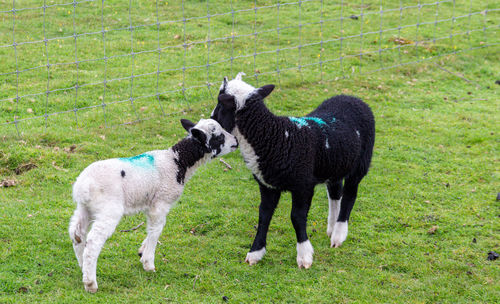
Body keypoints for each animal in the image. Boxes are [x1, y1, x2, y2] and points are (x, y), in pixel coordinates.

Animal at [68, 119, 238, 292]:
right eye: (219, 136)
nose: (236, 141)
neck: (178, 161)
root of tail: (83, 185)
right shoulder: (160, 203)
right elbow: (156, 231)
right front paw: (148, 263)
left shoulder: (152, 205)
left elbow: (153, 230)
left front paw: (142, 251)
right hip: (109, 210)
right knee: (93, 241)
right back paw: (90, 283)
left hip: (85, 208)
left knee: (77, 233)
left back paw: (83, 267)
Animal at [212, 73, 376, 268]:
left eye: (220, 104)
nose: (209, 121)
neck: (276, 137)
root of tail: (353, 98)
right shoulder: (267, 186)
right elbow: (263, 215)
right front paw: (255, 253)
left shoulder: (303, 185)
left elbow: (297, 217)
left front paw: (304, 255)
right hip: (335, 164)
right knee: (336, 193)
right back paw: (332, 228)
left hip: (360, 163)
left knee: (350, 195)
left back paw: (339, 234)